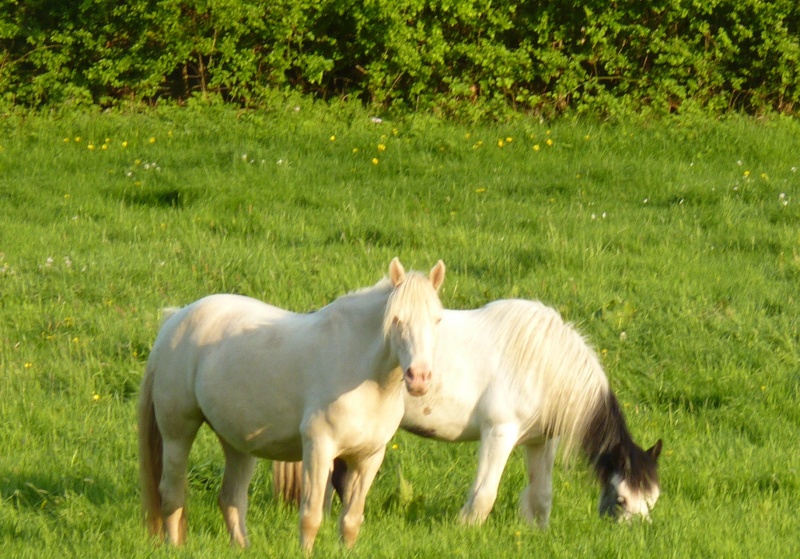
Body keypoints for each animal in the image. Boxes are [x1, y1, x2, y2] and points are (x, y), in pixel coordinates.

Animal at [140, 260, 446, 556]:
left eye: (437, 320)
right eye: (396, 319)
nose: (419, 378)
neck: (362, 373)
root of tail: (175, 321)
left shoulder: (368, 458)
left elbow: (350, 521)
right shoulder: (319, 449)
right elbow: (310, 517)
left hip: (236, 443)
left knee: (231, 498)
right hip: (178, 433)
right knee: (172, 494)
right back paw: (174, 547)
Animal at [276, 300, 664, 528]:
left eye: (652, 500)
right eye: (621, 499)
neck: (545, 364)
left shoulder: (540, 442)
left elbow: (542, 497)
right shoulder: (499, 433)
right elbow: (484, 495)